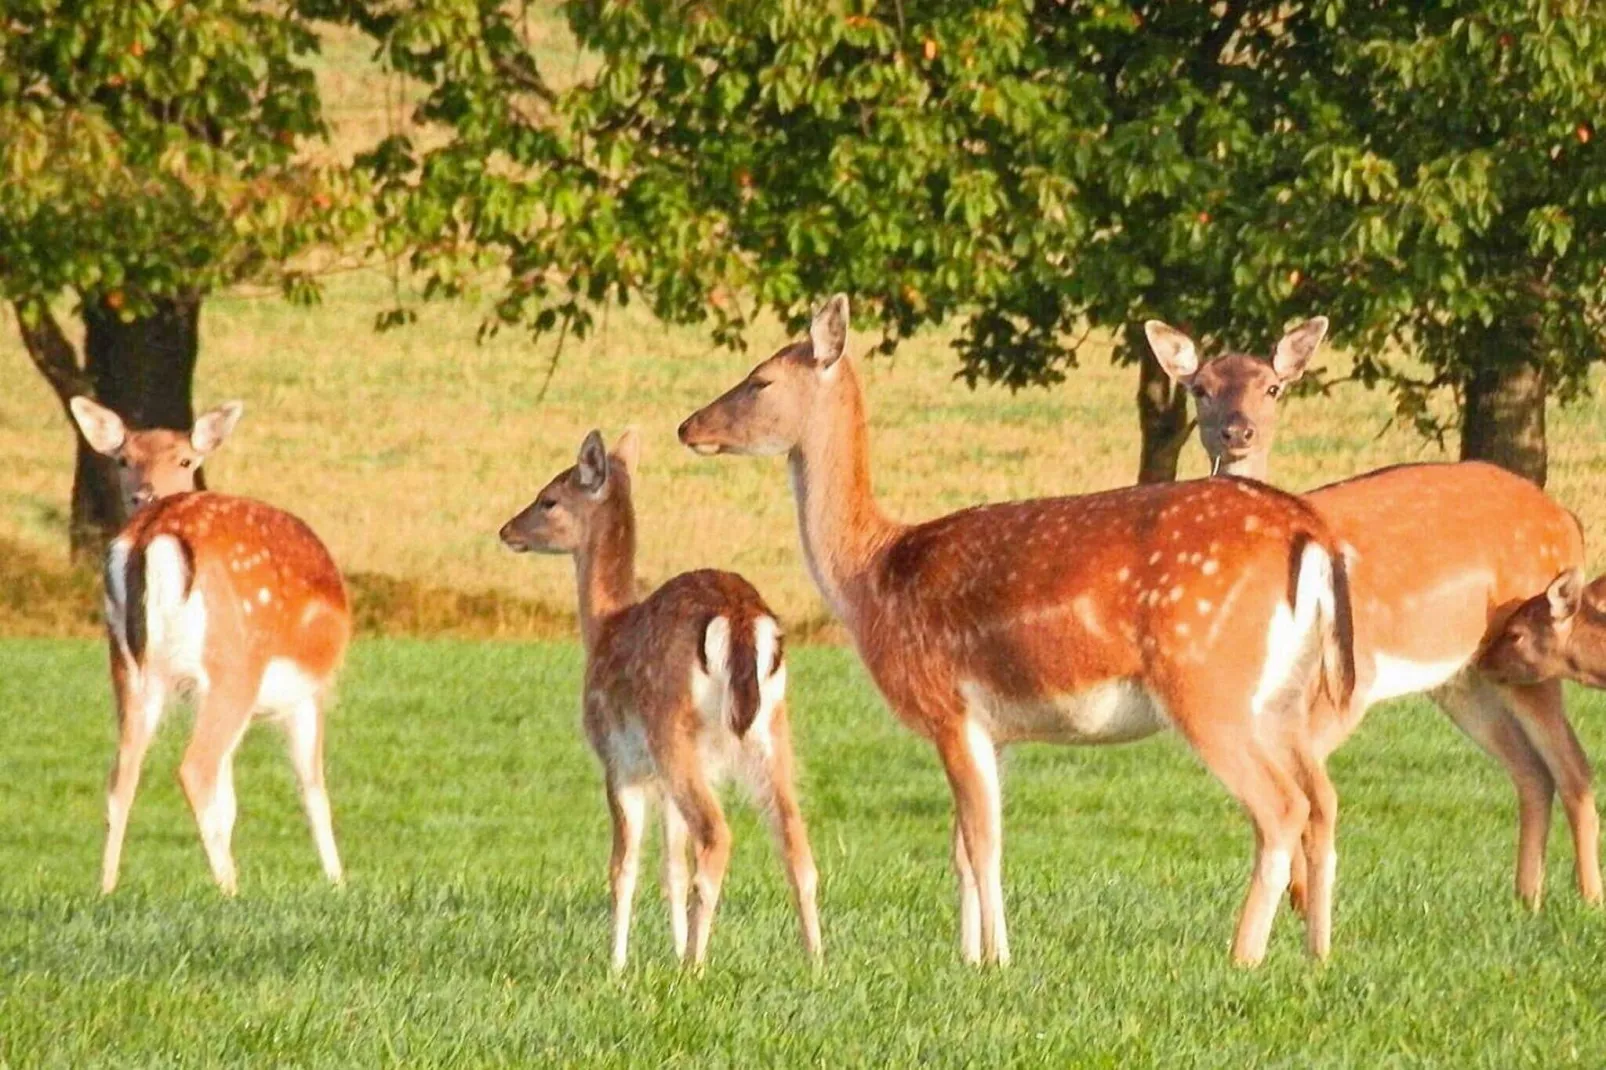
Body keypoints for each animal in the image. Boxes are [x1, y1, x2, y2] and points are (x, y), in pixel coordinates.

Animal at [67, 393, 350, 893]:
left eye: (184, 460)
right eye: (123, 460)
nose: (142, 494)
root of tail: (151, 531)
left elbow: (231, 801)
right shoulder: (309, 692)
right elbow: (312, 787)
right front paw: (338, 884)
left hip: (126, 665)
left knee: (122, 773)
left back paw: (106, 888)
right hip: (234, 664)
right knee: (195, 768)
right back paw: (230, 888)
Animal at [497, 424, 828, 963]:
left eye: (549, 499)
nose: (507, 530)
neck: (605, 626)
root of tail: (741, 617)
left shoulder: (619, 760)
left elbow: (623, 867)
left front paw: (617, 963)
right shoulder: (663, 775)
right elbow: (671, 865)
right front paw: (671, 948)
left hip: (670, 727)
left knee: (716, 835)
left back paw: (696, 966)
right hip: (772, 730)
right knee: (795, 840)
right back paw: (814, 961)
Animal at [674, 295, 1355, 963]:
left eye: (760, 380)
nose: (688, 426)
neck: (871, 577)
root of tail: (1308, 531)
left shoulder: (947, 706)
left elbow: (982, 844)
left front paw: (998, 960)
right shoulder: (994, 729)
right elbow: (965, 848)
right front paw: (971, 958)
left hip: (1207, 679)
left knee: (1281, 806)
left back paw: (1242, 957)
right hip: (1284, 695)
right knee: (1319, 798)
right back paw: (1316, 955)